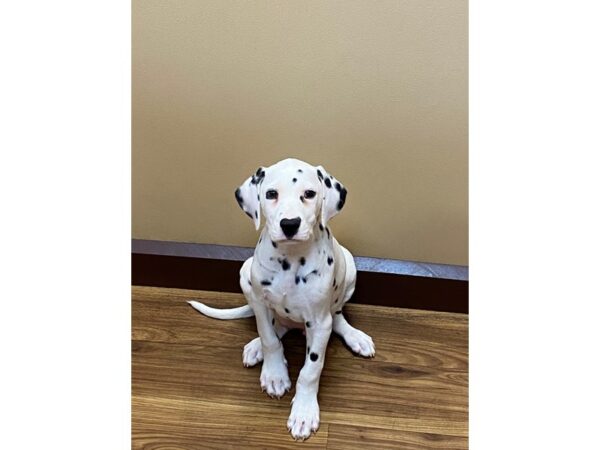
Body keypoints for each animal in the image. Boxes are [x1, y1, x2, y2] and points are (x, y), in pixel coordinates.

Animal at [189, 157, 376, 440]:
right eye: (271, 194)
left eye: (309, 194)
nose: (290, 224)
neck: (291, 259)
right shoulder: (260, 302)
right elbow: (269, 338)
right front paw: (275, 374)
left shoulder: (319, 322)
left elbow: (311, 369)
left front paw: (304, 411)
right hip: (244, 271)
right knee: (278, 328)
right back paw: (256, 346)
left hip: (350, 267)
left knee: (337, 316)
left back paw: (355, 337)